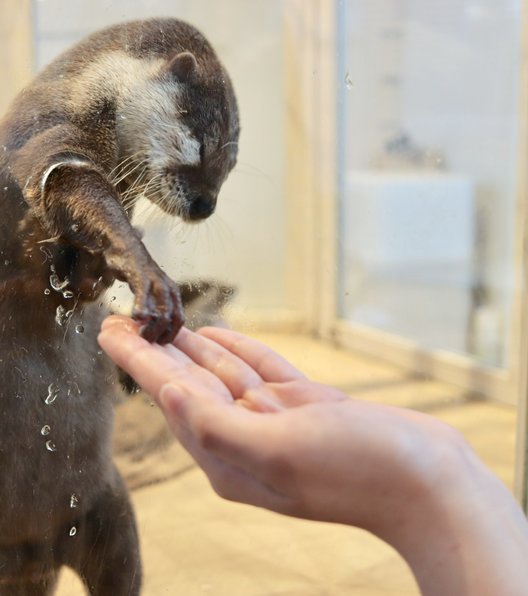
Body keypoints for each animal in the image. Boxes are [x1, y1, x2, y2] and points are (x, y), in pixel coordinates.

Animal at [0, 16, 239, 592]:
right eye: (203, 145)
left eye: (232, 162)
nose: (206, 205)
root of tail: (31, 557)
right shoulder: (48, 139)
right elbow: (68, 181)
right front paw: (149, 276)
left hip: (110, 514)